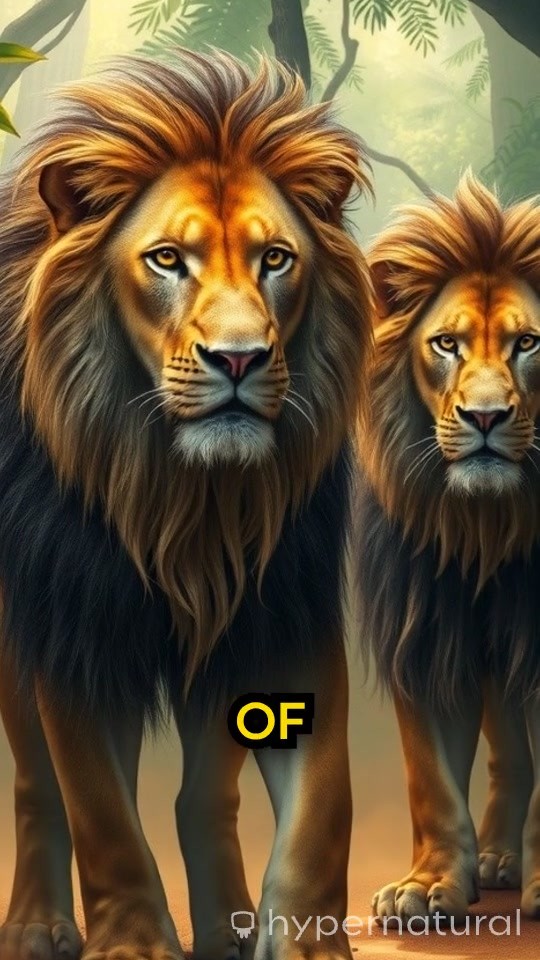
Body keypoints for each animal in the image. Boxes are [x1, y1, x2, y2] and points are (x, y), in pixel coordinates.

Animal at [0, 50, 373, 960]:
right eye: (168, 259)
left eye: (276, 259)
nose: (238, 359)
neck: (187, 498)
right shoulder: (72, 626)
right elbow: (99, 811)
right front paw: (133, 942)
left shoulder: (285, 615)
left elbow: (322, 810)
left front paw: (304, 942)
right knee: (34, 784)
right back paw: (38, 924)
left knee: (204, 794)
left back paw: (225, 925)